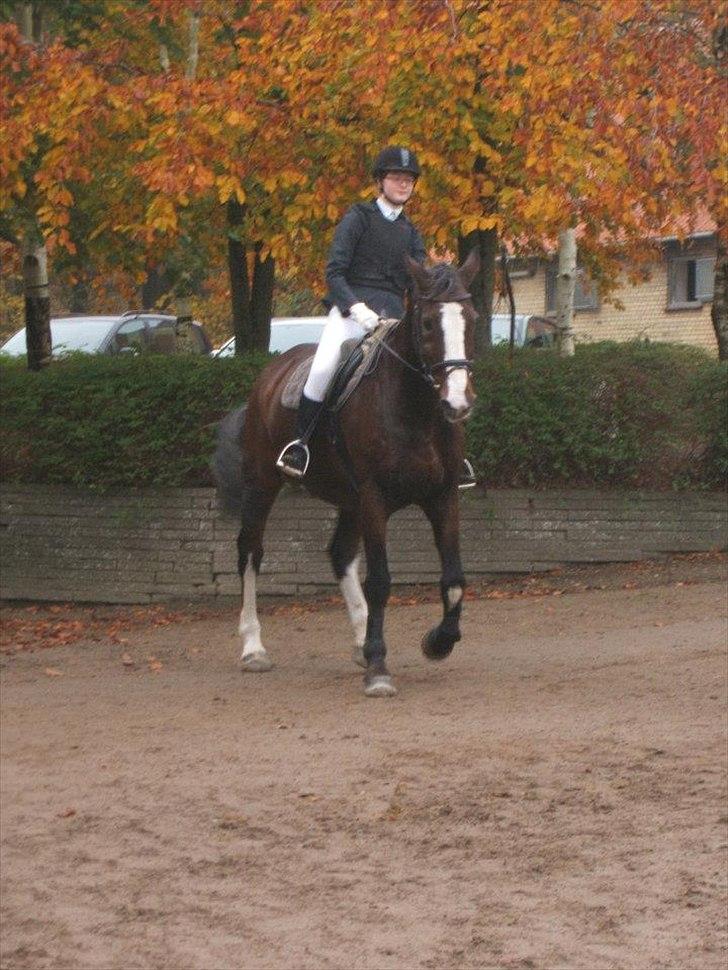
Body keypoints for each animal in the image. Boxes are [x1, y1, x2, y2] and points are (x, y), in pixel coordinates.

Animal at [213, 251, 480, 696]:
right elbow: (380, 581)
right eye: (427, 323)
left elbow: (455, 578)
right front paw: (379, 669)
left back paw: (360, 642)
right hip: (263, 484)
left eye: (471, 318)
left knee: (339, 554)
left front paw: (437, 642)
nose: (457, 403)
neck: (416, 411)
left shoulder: (443, 495)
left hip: (349, 499)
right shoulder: (374, 496)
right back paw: (254, 647)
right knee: (250, 552)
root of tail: (271, 373)